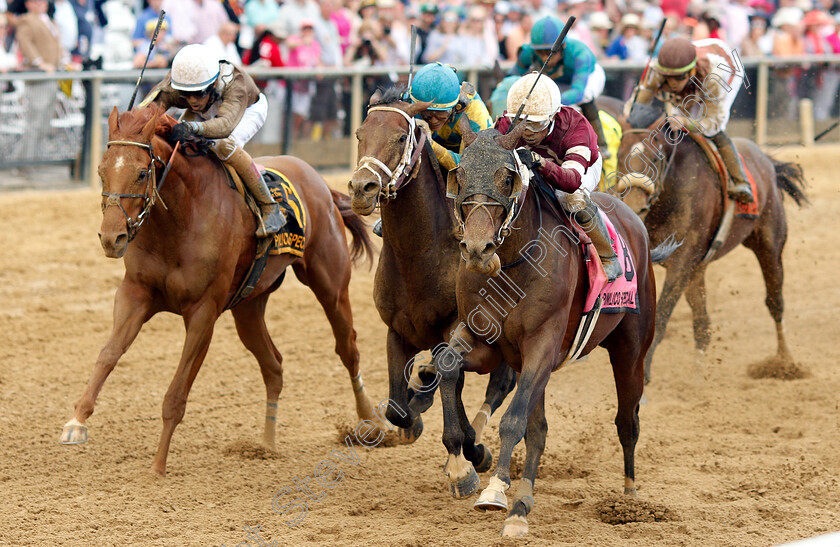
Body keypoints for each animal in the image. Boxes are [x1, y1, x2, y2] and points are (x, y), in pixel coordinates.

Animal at [58, 105, 374, 478]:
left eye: (141, 173)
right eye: (101, 170)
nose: (112, 238)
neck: (179, 220)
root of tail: (323, 185)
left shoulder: (202, 312)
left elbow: (176, 394)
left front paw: (158, 465)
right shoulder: (135, 293)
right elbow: (108, 353)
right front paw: (76, 422)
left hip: (331, 285)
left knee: (348, 348)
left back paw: (373, 423)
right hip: (249, 307)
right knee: (274, 365)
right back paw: (266, 444)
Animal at [344, 88, 516, 474]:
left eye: (400, 137)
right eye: (360, 134)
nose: (362, 188)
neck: (418, 255)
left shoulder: (453, 331)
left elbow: (453, 384)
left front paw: (470, 451)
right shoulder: (397, 332)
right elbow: (398, 407)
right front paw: (415, 415)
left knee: (501, 382)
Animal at [442, 121, 680, 540]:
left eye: (507, 178)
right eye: (461, 174)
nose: (476, 249)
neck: (512, 263)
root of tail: (633, 218)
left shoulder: (542, 344)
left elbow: (513, 421)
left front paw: (495, 491)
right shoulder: (488, 341)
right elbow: (446, 366)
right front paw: (462, 470)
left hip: (631, 350)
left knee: (627, 421)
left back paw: (630, 498)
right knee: (539, 428)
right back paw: (523, 503)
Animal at [612, 105, 804, 384]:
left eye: (656, 157)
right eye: (619, 154)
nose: (634, 204)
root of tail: (766, 161)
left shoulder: (681, 263)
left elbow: (662, 314)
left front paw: (644, 373)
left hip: (770, 246)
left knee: (775, 302)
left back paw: (785, 363)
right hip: (698, 269)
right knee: (702, 324)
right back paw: (698, 373)